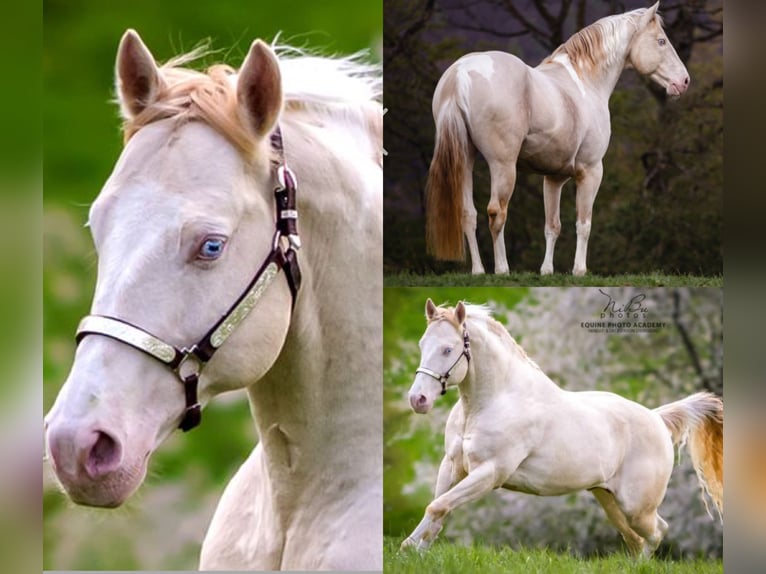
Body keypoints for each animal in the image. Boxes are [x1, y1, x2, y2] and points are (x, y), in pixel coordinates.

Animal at [402, 299, 723, 557]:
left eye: (448, 349)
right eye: (421, 345)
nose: (418, 400)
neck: (491, 402)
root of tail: (657, 418)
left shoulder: (490, 472)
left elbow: (438, 506)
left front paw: (410, 549)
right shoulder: (453, 464)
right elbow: (438, 506)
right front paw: (415, 550)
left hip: (636, 506)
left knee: (657, 532)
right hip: (608, 498)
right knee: (635, 539)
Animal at [425, 2, 689, 276]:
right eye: (661, 41)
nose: (684, 81)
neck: (585, 82)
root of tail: (459, 75)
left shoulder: (554, 178)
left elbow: (552, 225)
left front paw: (546, 271)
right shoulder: (591, 171)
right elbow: (584, 223)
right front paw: (579, 271)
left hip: (465, 159)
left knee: (468, 214)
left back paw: (478, 271)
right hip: (502, 165)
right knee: (497, 212)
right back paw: (502, 269)